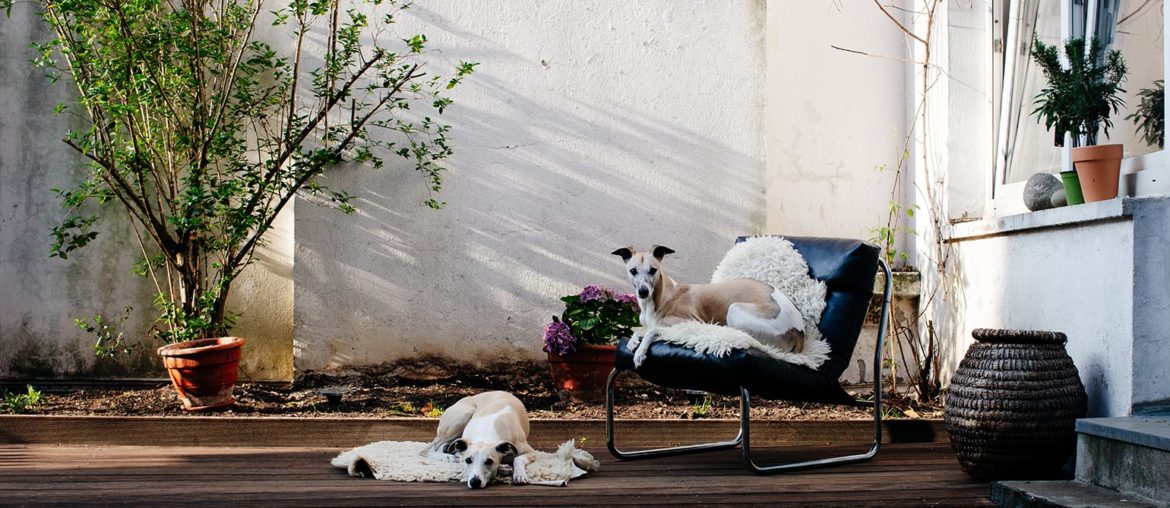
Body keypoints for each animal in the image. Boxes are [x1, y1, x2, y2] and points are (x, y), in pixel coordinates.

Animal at [613, 244, 804, 367]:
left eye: (653, 270)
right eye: (633, 271)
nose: (643, 292)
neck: (660, 298)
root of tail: (799, 331)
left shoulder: (691, 322)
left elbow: (652, 330)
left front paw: (640, 352)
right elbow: (642, 329)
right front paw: (633, 341)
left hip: (735, 310)